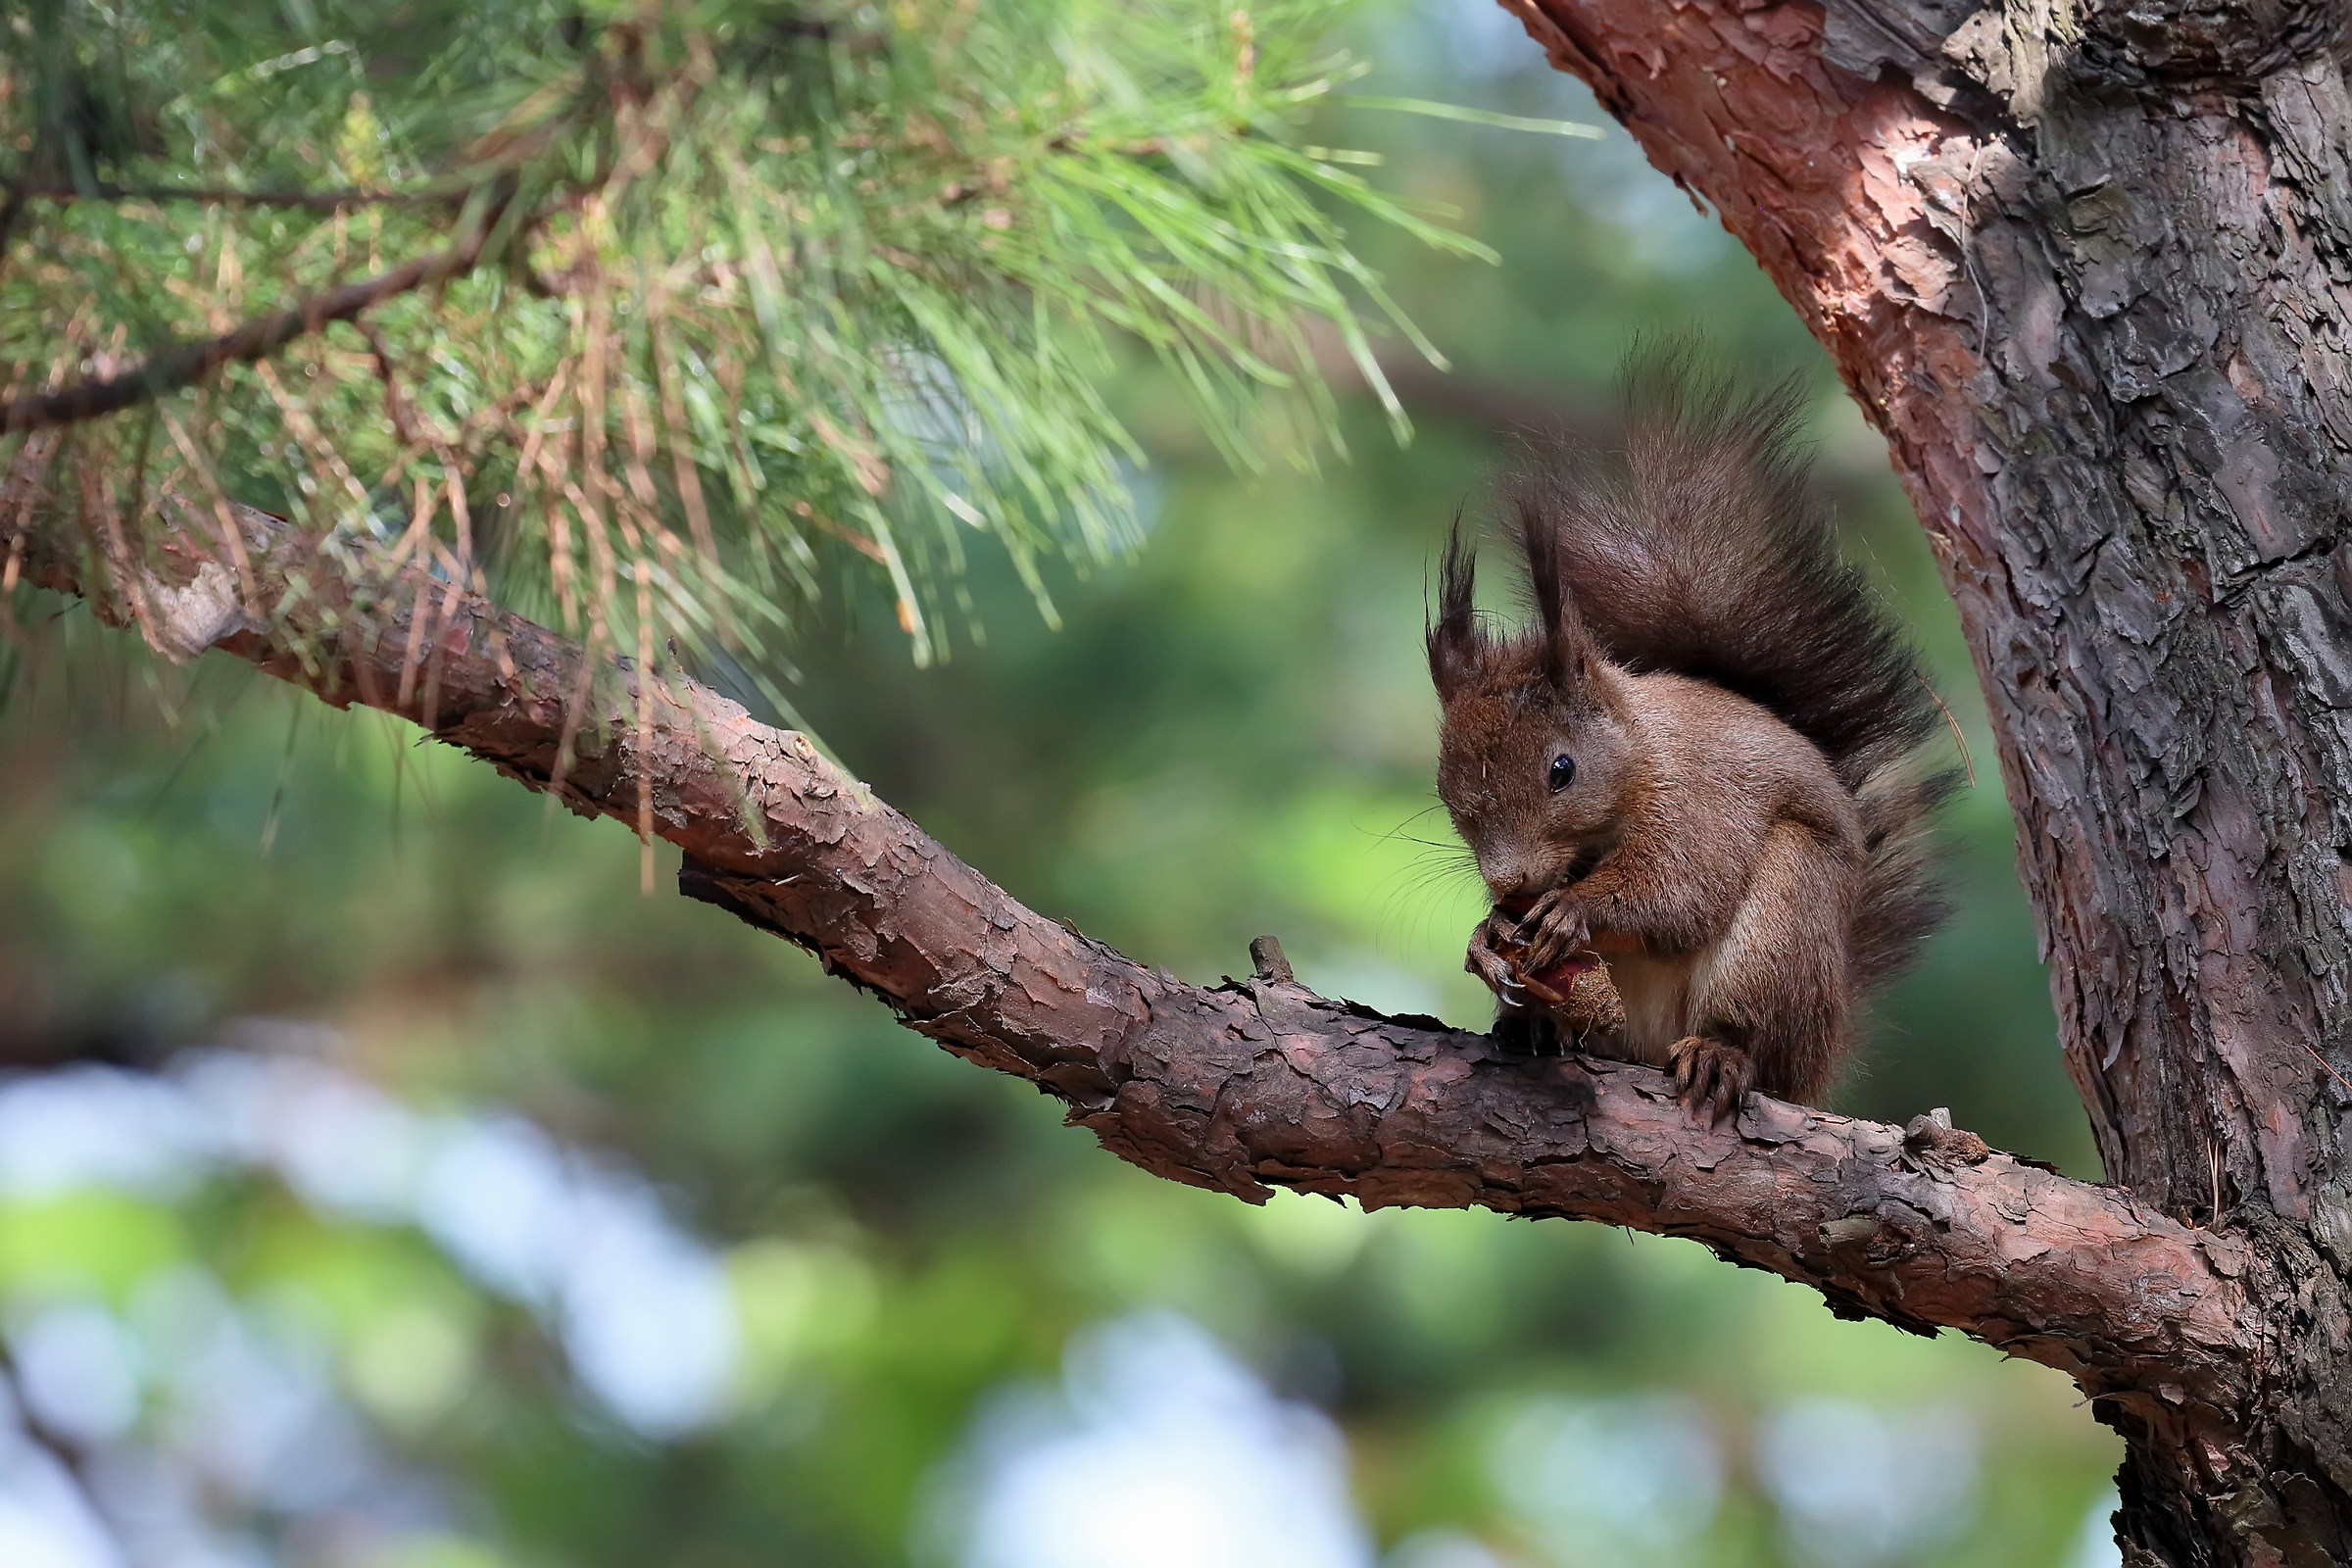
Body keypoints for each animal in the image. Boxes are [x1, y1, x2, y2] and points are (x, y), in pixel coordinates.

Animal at [1426, 362, 1959, 1122]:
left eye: (1562, 769)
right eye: (1447, 792)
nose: (1509, 882)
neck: (1641, 755)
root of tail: (1823, 1051)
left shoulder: (1701, 802)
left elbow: (1681, 893)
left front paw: (1576, 909)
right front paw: (1487, 936)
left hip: (1783, 929)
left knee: (1751, 1029)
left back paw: (1718, 1054)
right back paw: (1532, 1025)